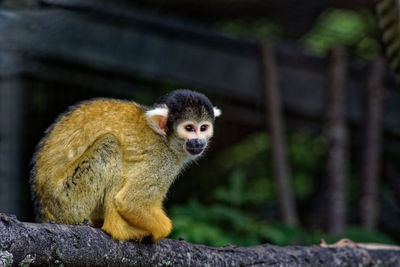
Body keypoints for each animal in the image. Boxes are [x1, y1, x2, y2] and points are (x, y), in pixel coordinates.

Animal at [30, 89, 222, 243]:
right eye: (189, 128)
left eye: (203, 128)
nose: (199, 142)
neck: (165, 140)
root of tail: (45, 210)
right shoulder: (162, 160)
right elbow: (131, 202)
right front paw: (162, 230)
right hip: (69, 200)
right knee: (110, 146)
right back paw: (118, 229)